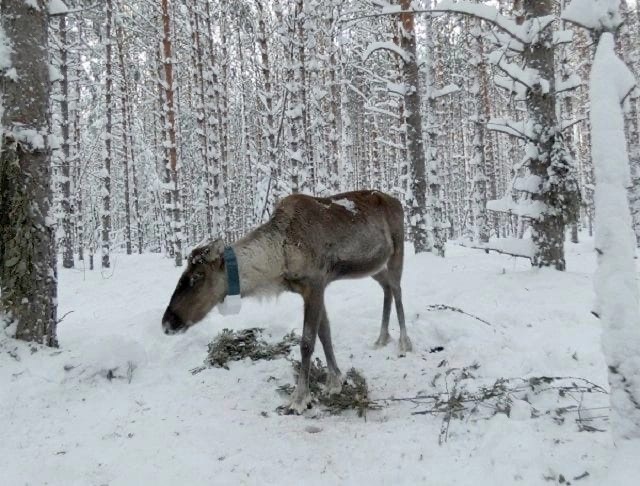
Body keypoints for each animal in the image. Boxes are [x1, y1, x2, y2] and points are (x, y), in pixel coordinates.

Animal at [162, 189, 411, 414]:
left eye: (197, 276)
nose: (167, 322)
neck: (281, 257)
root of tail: (397, 201)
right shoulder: (314, 289)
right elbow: (325, 335)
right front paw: (335, 381)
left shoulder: (314, 285)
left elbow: (307, 342)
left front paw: (300, 399)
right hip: (374, 267)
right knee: (387, 288)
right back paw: (382, 337)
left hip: (397, 249)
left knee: (398, 290)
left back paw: (404, 342)